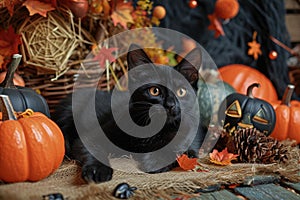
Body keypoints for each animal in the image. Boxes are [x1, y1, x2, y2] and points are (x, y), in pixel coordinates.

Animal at [52, 44, 205, 184]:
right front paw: (97, 170)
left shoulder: (190, 138)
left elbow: (182, 152)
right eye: (154, 91)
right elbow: (92, 149)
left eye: (181, 91)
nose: (170, 105)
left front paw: (152, 161)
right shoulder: (89, 138)